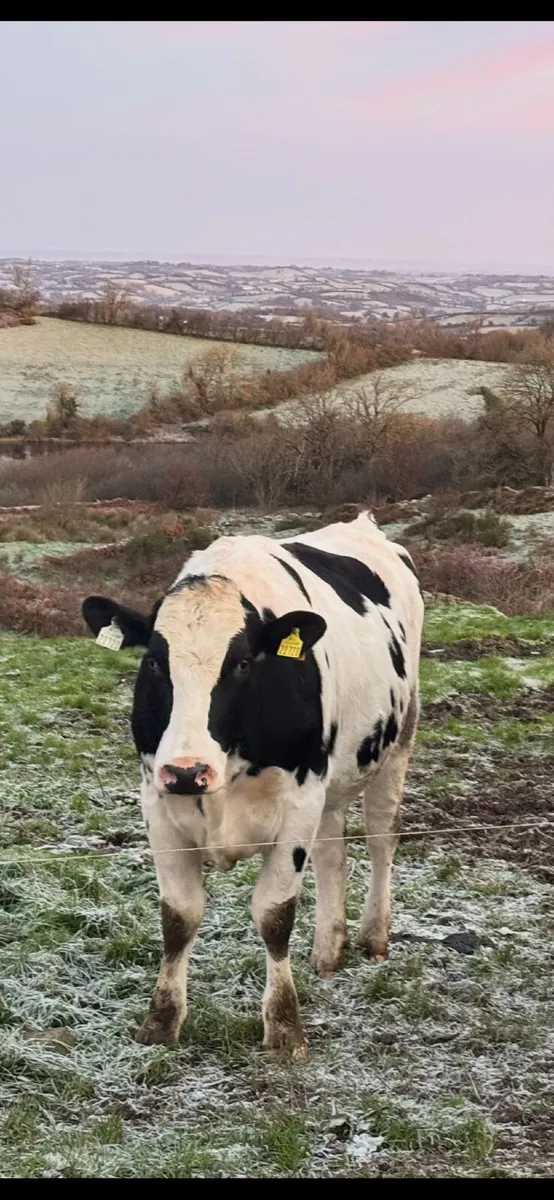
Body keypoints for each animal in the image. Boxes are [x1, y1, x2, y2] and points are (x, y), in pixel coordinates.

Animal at [82, 512, 423, 1055]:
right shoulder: (157, 802)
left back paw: (373, 936)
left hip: (399, 740)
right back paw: (328, 949)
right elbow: (179, 917)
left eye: (242, 663)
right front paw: (161, 1022)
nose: (187, 771)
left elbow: (274, 916)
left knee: (380, 838)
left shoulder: (298, 803)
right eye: (154, 661)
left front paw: (284, 1028)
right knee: (332, 852)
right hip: (332, 784)